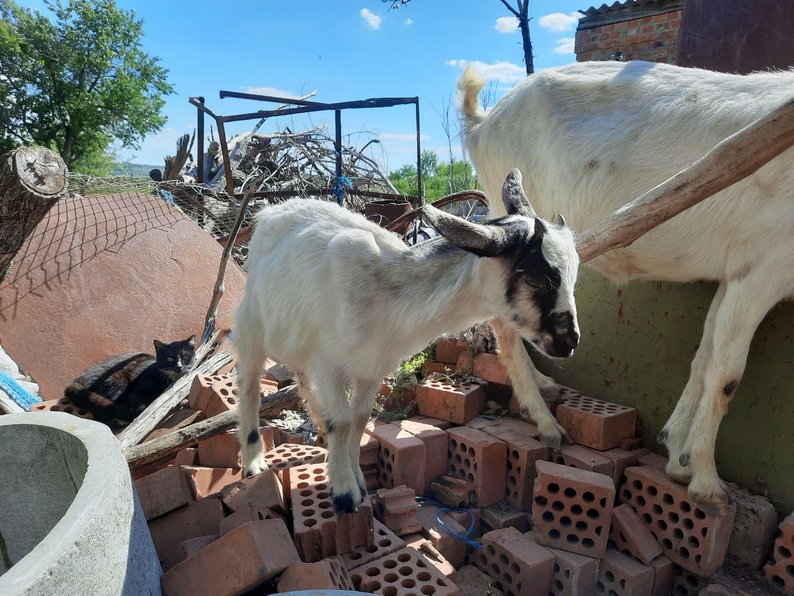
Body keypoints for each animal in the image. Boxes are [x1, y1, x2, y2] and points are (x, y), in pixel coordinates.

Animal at [65, 336, 195, 428]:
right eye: (169, 358)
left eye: (185, 357)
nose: (179, 367)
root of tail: (77, 380)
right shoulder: (137, 388)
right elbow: (139, 404)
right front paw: (138, 412)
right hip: (118, 380)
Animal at [232, 171, 580, 512]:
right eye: (534, 279)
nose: (569, 342)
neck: (390, 294)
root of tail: (271, 212)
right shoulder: (330, 363)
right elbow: (343, 422)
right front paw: (344, 493)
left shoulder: (371, 367)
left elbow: (359, 420)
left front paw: (358, 479)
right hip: (251, 324)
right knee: (249, 385)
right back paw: (254, 461)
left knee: (301, 376)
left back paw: (316, 423)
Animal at [458, 59, 792, 508]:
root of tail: (484, 122)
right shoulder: (763, 267)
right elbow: (728, 376)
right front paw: (707, 481)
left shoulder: (732, 273)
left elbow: (705, 358)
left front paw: (678, 456)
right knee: (503, 323)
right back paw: (545, 421)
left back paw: (543, 388)